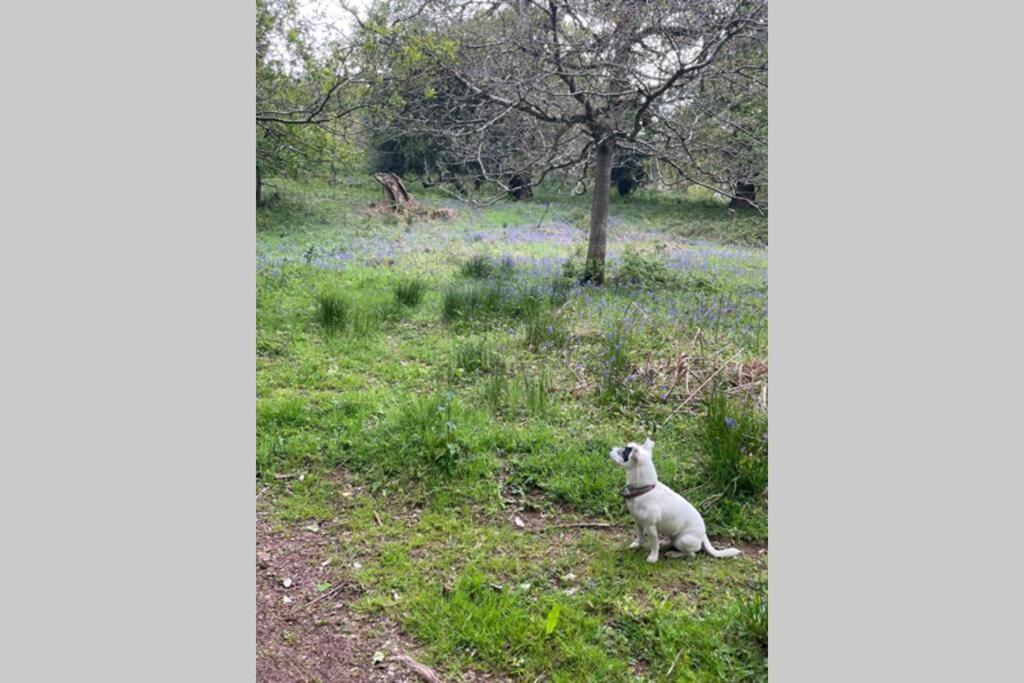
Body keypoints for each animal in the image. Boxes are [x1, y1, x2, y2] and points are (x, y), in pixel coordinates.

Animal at [610, 440, 741, 565]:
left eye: (623, 452)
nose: (610, 448)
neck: (644, 489)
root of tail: (704, 535)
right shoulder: (639, 522)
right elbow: (640, 536)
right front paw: (637, 544)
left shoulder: (651, 527)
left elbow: (654, 544)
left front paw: (653, 557)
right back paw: (667, 545)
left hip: (682, 540)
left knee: (691, 554)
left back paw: (674, 554)